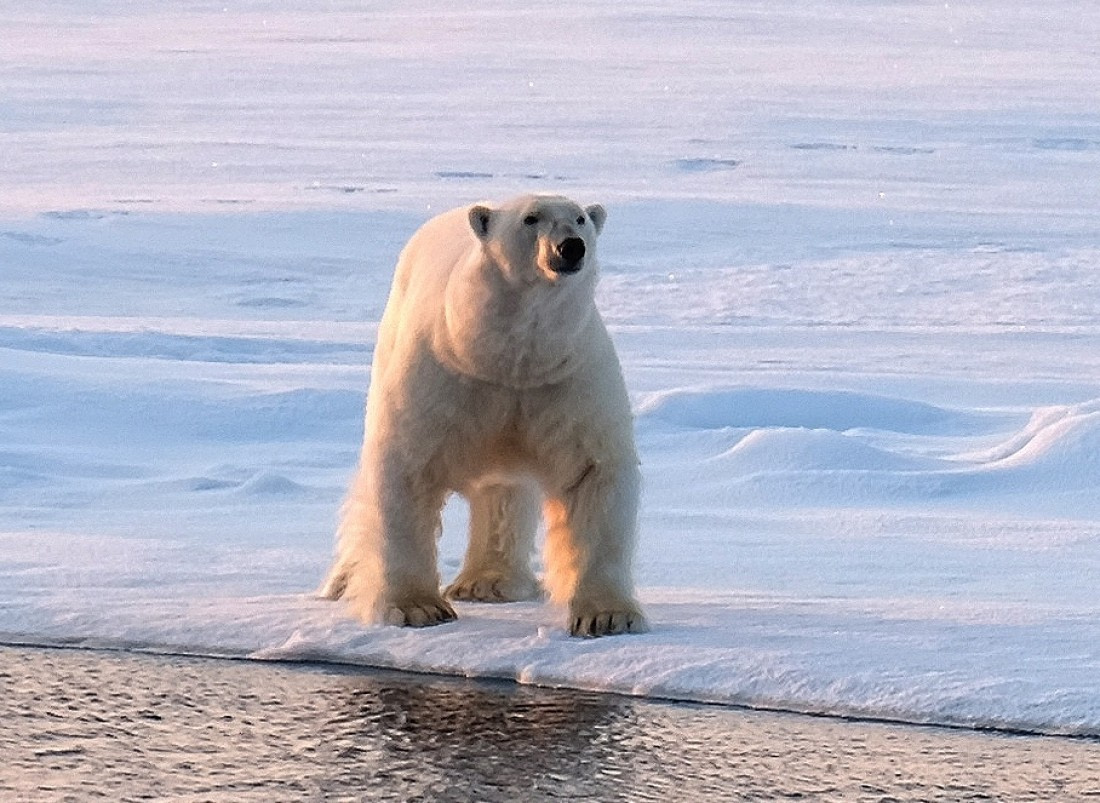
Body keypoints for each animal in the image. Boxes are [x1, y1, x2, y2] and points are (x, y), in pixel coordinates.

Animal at [318, 194, 647, 637]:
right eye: (531, 219)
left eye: (580, 218)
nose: (571, 247)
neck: (503, 357)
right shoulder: (445, 376)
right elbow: (406, 466)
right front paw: (416, 608)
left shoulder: (566, 379)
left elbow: (592, 473)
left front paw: (608, 616)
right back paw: (340, 582)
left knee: (503, 493)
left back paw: (489, 582)